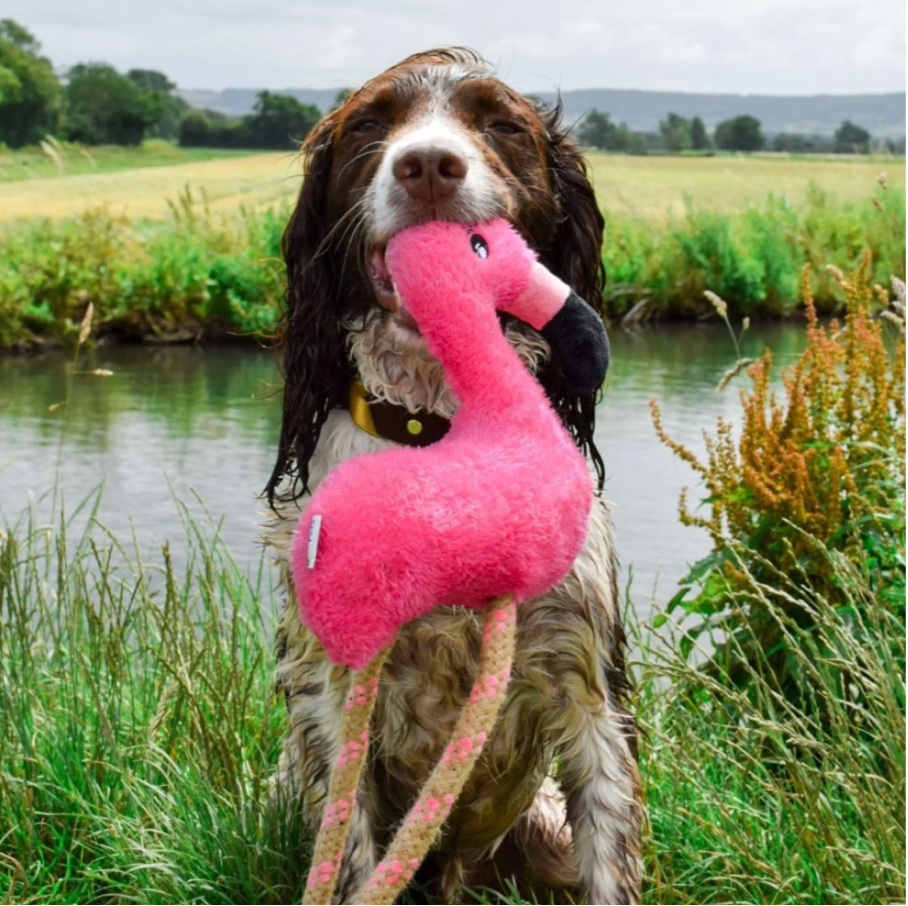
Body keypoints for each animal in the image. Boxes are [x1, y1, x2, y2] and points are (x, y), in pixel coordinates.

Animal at [264, 47, 644, 904]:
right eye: (370, 123)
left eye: (500, 123)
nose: (430, 166)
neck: (448, 437)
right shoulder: (336, 697)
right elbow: (350, 859)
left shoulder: (589, 692)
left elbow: (610, 857)